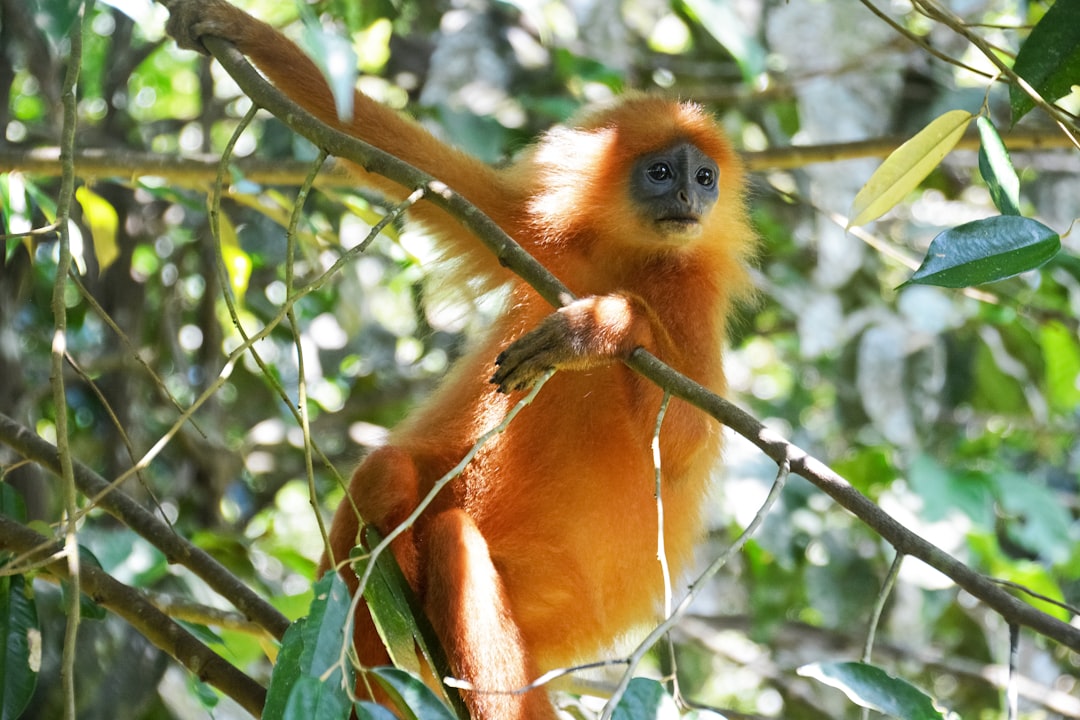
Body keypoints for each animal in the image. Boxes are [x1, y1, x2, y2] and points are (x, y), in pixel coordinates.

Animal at [166, 2, 760, 716]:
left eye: (705, 177)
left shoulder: (692, 301)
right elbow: (408, 161)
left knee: (454, 544)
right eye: (663, 173)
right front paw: (238, 30)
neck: (631, 256)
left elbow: (688, 436)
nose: (690, 200)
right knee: (388, 476)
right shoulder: (532, 232)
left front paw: (600, 327)